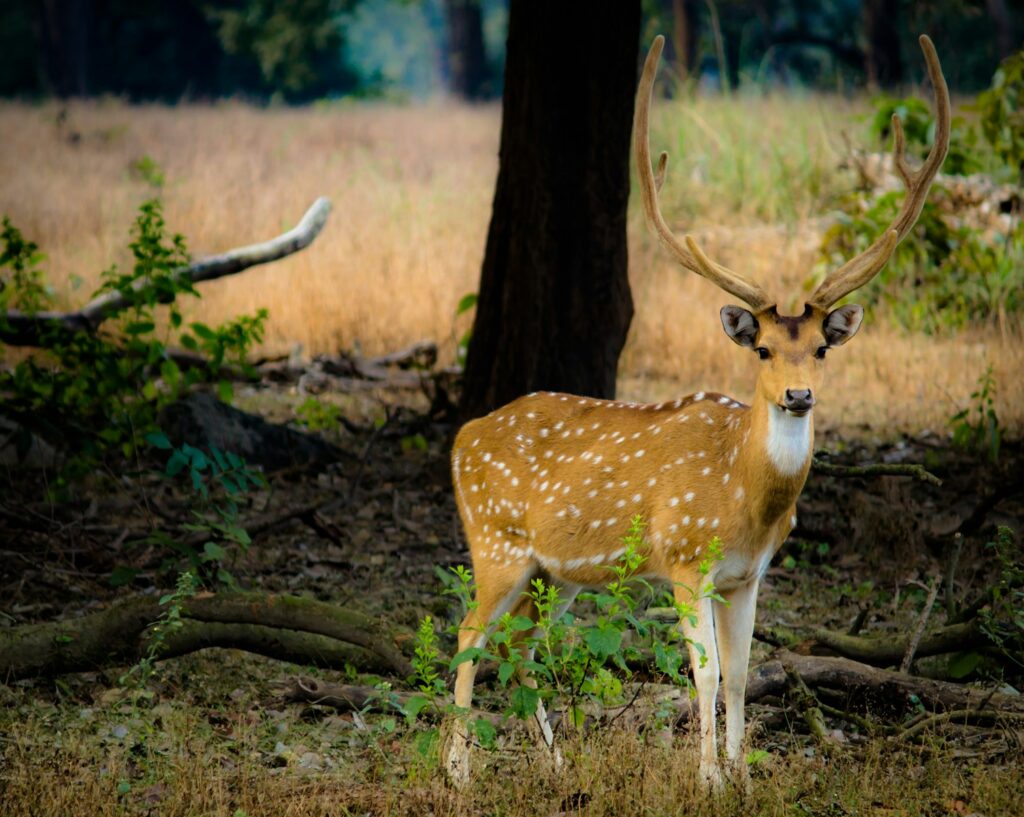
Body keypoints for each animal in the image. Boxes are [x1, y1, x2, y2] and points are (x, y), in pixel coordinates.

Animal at [445, 34, 949, 789]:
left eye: (821, 350)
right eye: (763, 349)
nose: (798, 395)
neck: (744, 497)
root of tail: (461, 436)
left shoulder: (749, 574)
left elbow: (741, 674)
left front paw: (743, 775)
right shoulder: (685, 557)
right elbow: (704, 674)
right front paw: (707, 776)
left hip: (554, 572)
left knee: (524, 645)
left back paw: (555, 764)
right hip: (495, 540)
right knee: (467, 634)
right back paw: (456, 771)